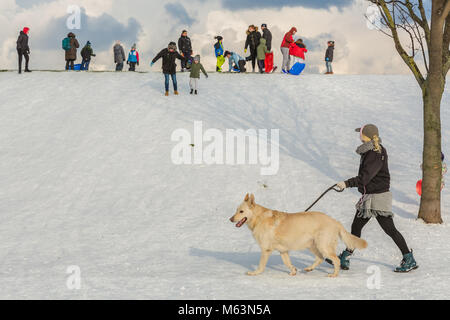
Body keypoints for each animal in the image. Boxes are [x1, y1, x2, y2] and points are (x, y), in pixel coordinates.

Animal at [230, 194, 368, 276]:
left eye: (241, 211)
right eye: (236, 210)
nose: (230, 219)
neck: (259, 218)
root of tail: (335, 221)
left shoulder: (266, 250)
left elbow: (261, 265)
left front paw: (255, 273)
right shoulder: (283, 251)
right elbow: (287, 263)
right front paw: (293, 271)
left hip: (323, 246)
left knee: (336, 260)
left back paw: (334, 274)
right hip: (312, 245)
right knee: (320, 258)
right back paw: (309, 268)